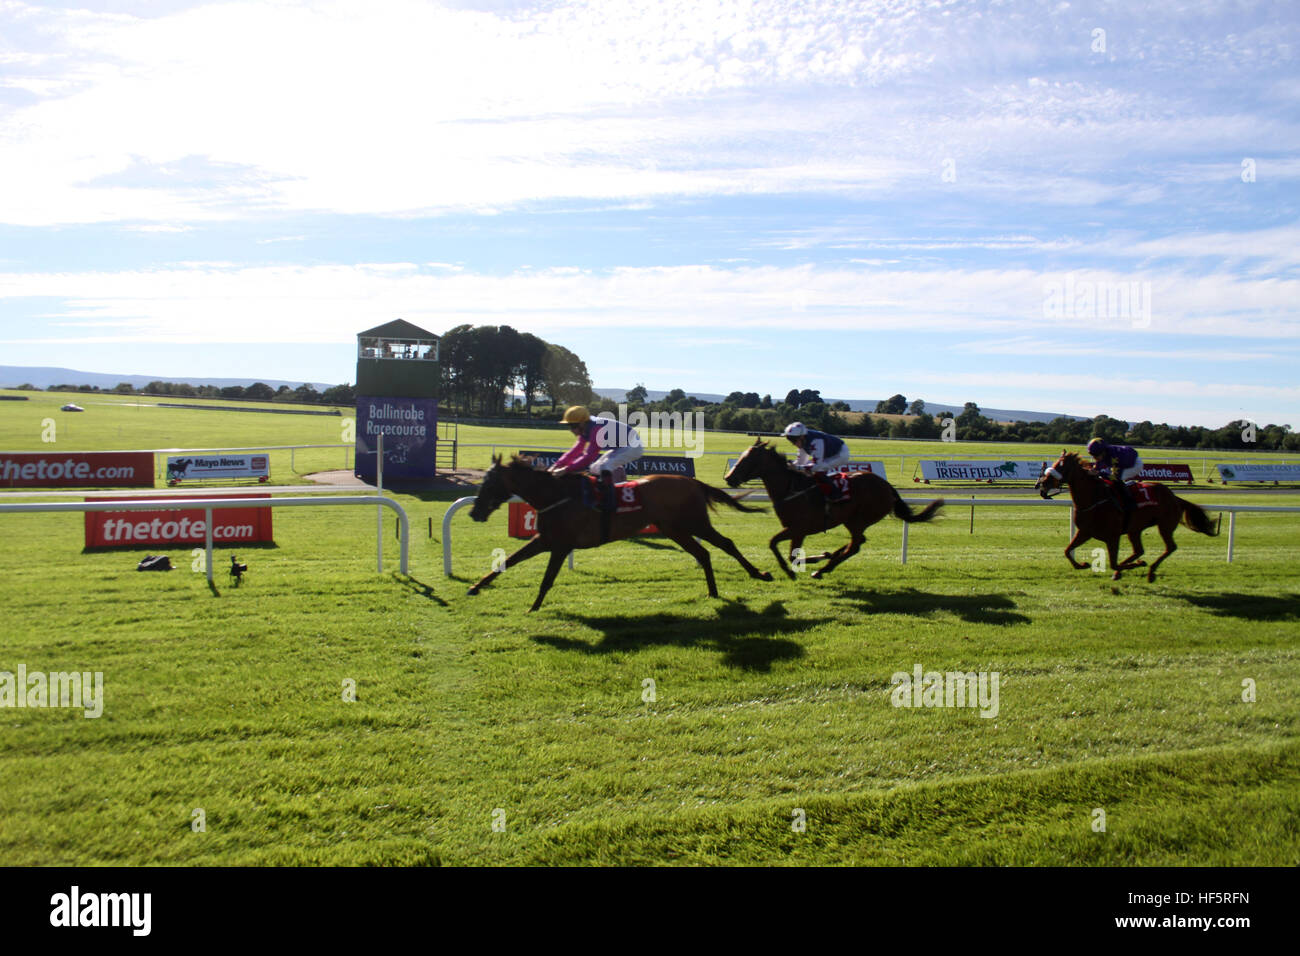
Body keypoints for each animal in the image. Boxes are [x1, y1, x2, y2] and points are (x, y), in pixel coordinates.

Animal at [465, 455, 769, 613]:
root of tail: (694, 482)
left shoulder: (560, 545)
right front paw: (475, 586)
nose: (474, 513)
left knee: (726, 544)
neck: (556, 495)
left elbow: (547, 579)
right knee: (703, 553)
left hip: (693, 524)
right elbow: (507, 561)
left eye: (489, 484)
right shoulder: (544, 540)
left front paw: (534, 607)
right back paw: (713, 592)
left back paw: (759, 573)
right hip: (674, 529)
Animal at [722, 437, 946, 580]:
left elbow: (782, 550)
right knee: (856, 542)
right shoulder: (795, 530)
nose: (728, 478)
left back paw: (822, 569)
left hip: (859, 519)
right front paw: (815, 558)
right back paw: (829, 559)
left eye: (748, 460)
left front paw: (793, 569)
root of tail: (886, 485)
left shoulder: (798, 529)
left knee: (855, 545)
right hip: (852, 520)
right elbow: (784, 550)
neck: (791, 488)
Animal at [1034, 450, 1216, 582]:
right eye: (1054, 464)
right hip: (1135, 529)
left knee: (1170, 547)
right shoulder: (1085, 532)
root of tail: (1174, 497)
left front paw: (1133, 566)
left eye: (1062, 466)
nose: (1043, 484)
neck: (1095, 498)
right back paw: (1137, 564)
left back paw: (1150, 571)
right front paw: (1083, 564)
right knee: (1139, 550)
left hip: (1165, 526)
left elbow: (1114, 564)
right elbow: (1067, 551)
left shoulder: (1112, 536)